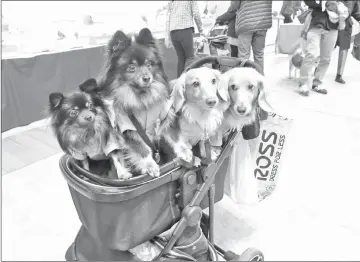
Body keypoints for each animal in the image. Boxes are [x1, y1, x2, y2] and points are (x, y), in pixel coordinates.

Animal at [97, 27, 172, 177]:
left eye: (149, 64)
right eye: (132, 67)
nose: (146, 78)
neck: (142, 99)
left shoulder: (162, 118)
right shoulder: (128, 129)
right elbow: (142, 150)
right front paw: (150, 166)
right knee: (115, 156)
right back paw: (123, 174)